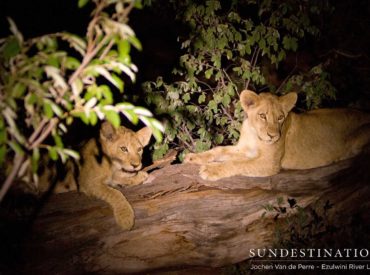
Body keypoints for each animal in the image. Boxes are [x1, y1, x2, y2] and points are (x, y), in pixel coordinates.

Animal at [184, 89, 370, 182]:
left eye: (280, 117)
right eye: (262, 116)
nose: (273, 136)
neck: (255, 134)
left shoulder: (269, 163)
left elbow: (237, 163)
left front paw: (210, 169)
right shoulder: (244, 149)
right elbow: (219, 150)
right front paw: (193, 157)